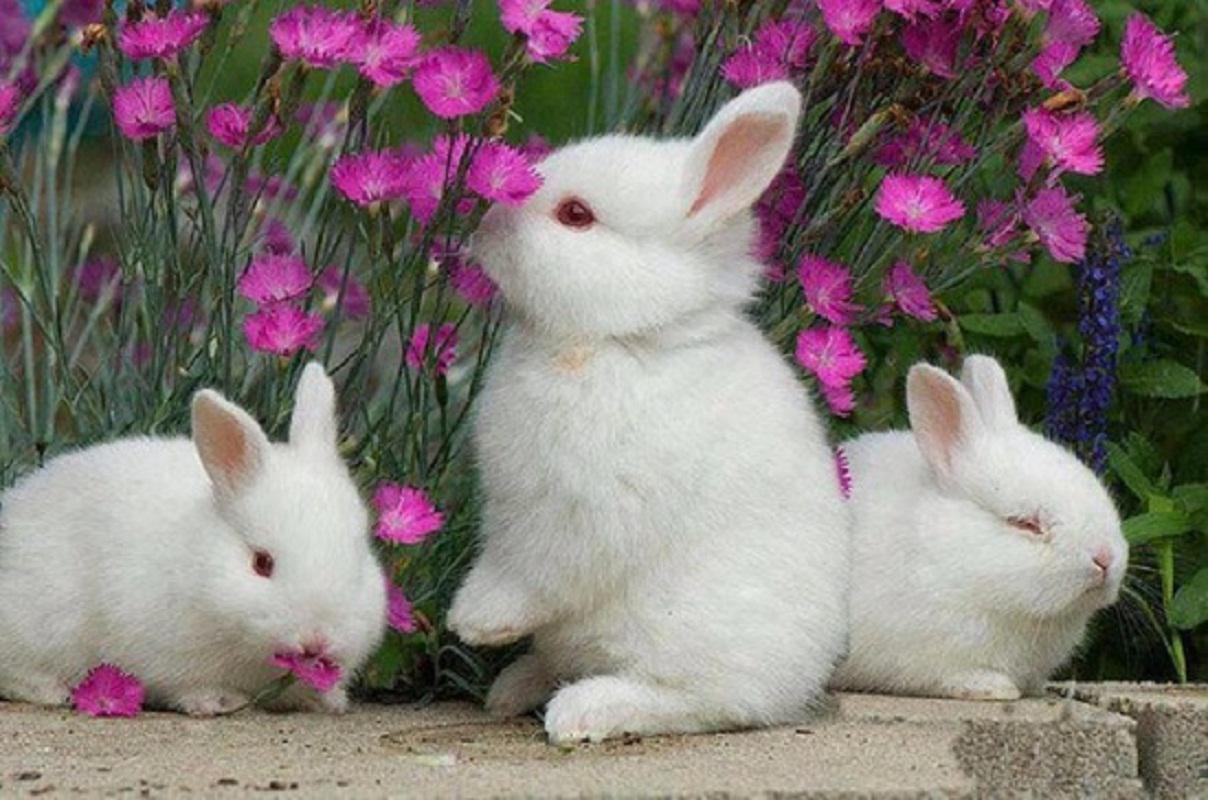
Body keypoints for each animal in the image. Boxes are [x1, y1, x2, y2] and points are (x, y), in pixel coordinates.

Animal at [0, 363, 386, 716]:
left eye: (357, 562)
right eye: (261, 563)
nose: (316, 639)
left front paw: (326, 700)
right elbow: (184, 686)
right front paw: (217, 701)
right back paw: (51, 690)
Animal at [446, 81, 851, 744]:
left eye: (576, 215)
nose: (483, 226)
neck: (624, 340)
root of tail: (802, 680)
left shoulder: (580, 513)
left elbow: (534, 572)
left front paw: (476, 620)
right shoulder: (512, 506)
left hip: (690, 637)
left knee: (697, 702)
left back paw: (582, 710)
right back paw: (515, 687)